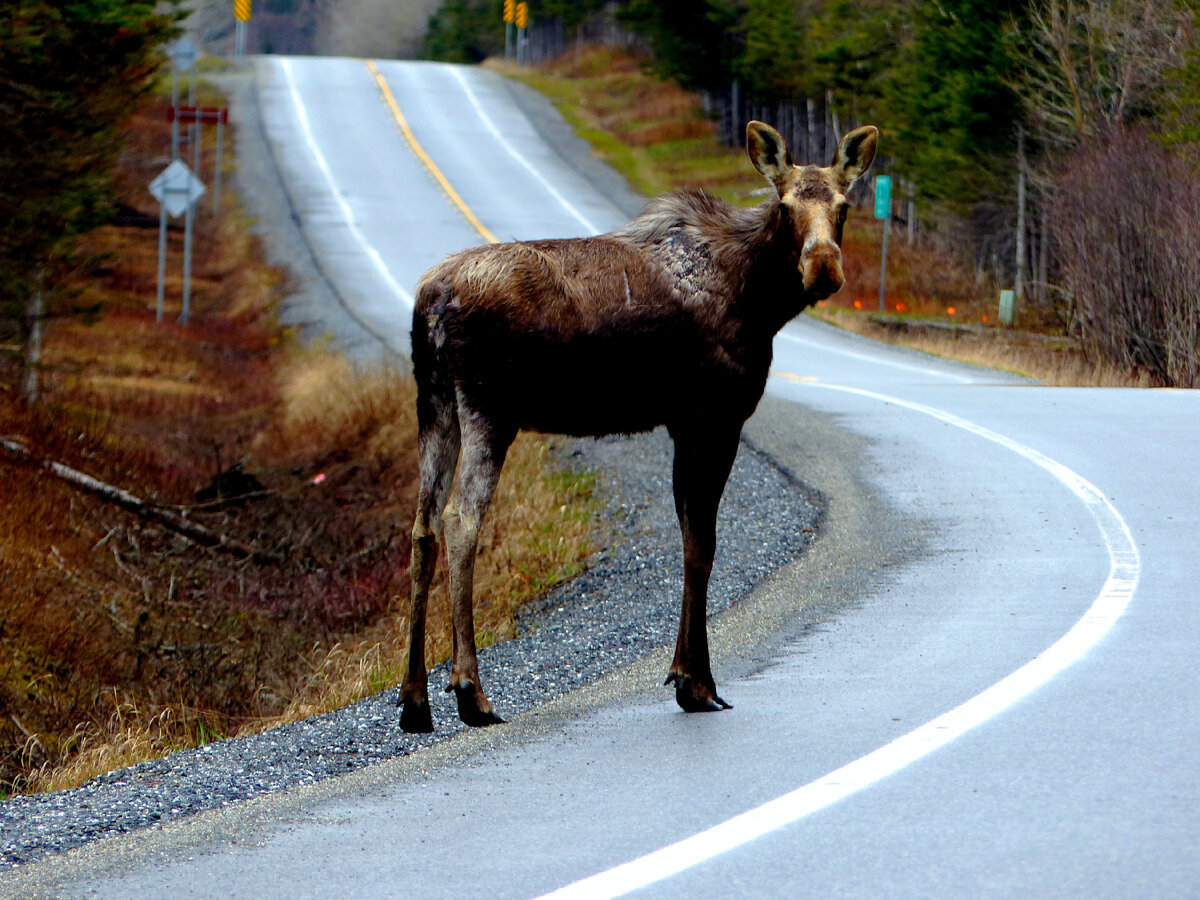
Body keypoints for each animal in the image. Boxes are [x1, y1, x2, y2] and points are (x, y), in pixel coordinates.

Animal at [398, 118, 878, 734]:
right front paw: (697, 682)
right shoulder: (714, 415)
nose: (823, 268)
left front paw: (685, 674)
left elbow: (689, 537)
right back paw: (470, 690)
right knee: (461, 520)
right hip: (487, 408)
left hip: (433, 404)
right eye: (786, 204)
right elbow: (703, 544)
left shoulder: (681, 423)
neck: (759, 301)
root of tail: (429, 303)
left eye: (844, 205)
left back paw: (414, 699)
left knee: (422, 526)